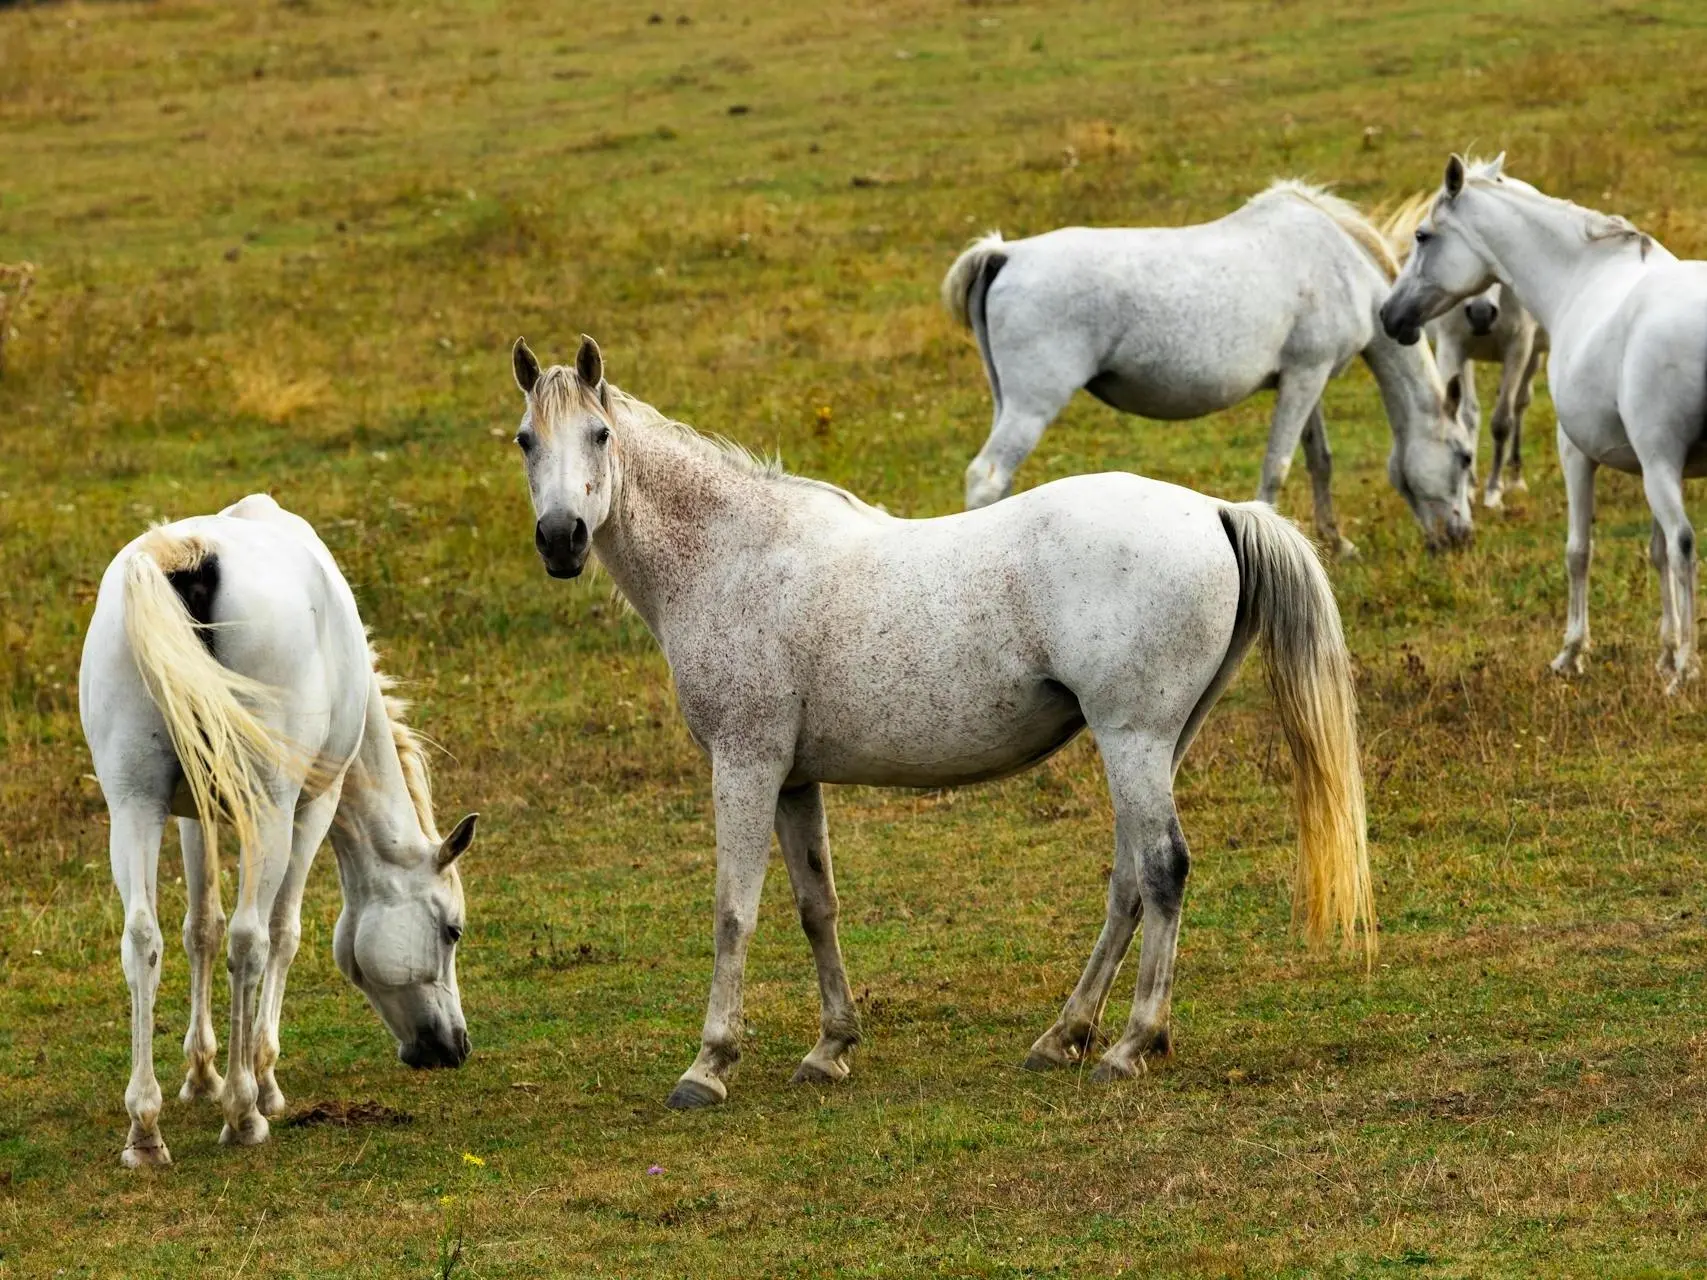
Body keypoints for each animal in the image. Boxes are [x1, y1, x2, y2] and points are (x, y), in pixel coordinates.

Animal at [79, 494, 477, 1167]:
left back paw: (145, 1128)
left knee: (143, 939)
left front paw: (201, 1075)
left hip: (134, 804)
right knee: (251, 940)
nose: (455, 1047)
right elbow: (282, 933)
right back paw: (244, 1112)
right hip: (268, 806)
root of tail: (188, 556)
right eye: (451, 931)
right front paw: (260, 1082)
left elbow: (199, 930)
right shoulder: (313, 806)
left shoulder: (192, 815)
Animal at [501, 337, 1372, 1112]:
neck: (732, 558)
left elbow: (732, 911)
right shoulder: (793, 779)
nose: (560, 540)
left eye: (599, 435)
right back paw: (1063, 1036)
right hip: (1157, 744)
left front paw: (709, 1065)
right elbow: (816, 906)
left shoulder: (743, 765)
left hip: (1135, 739)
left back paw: (1129, 1045)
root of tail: (1217, 511)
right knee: (1129, 879)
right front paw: (831, 1048)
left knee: (1161, 870)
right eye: (524, 440)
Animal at [942, 181, 1474, 556]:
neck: (1341, 262)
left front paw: (1338, 543)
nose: (1462, 537)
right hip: (1031, 408)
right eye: (1465, 457)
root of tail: (1007, 253)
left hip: (1008, 404)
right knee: (986, 477)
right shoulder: (1305, 377)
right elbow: (1277, 467)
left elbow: (1319, 461)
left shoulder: (1308, 379)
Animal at [1379, 192, 1556, 512]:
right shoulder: (1452, 347)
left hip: (1533, 357)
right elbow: (1461, 415)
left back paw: (1515, 478)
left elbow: (1502, 422)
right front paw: (1470, 486)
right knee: (1472, 411)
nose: (1481, 314)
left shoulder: (1518, 348)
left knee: (1521, 404)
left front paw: (1494, 490)